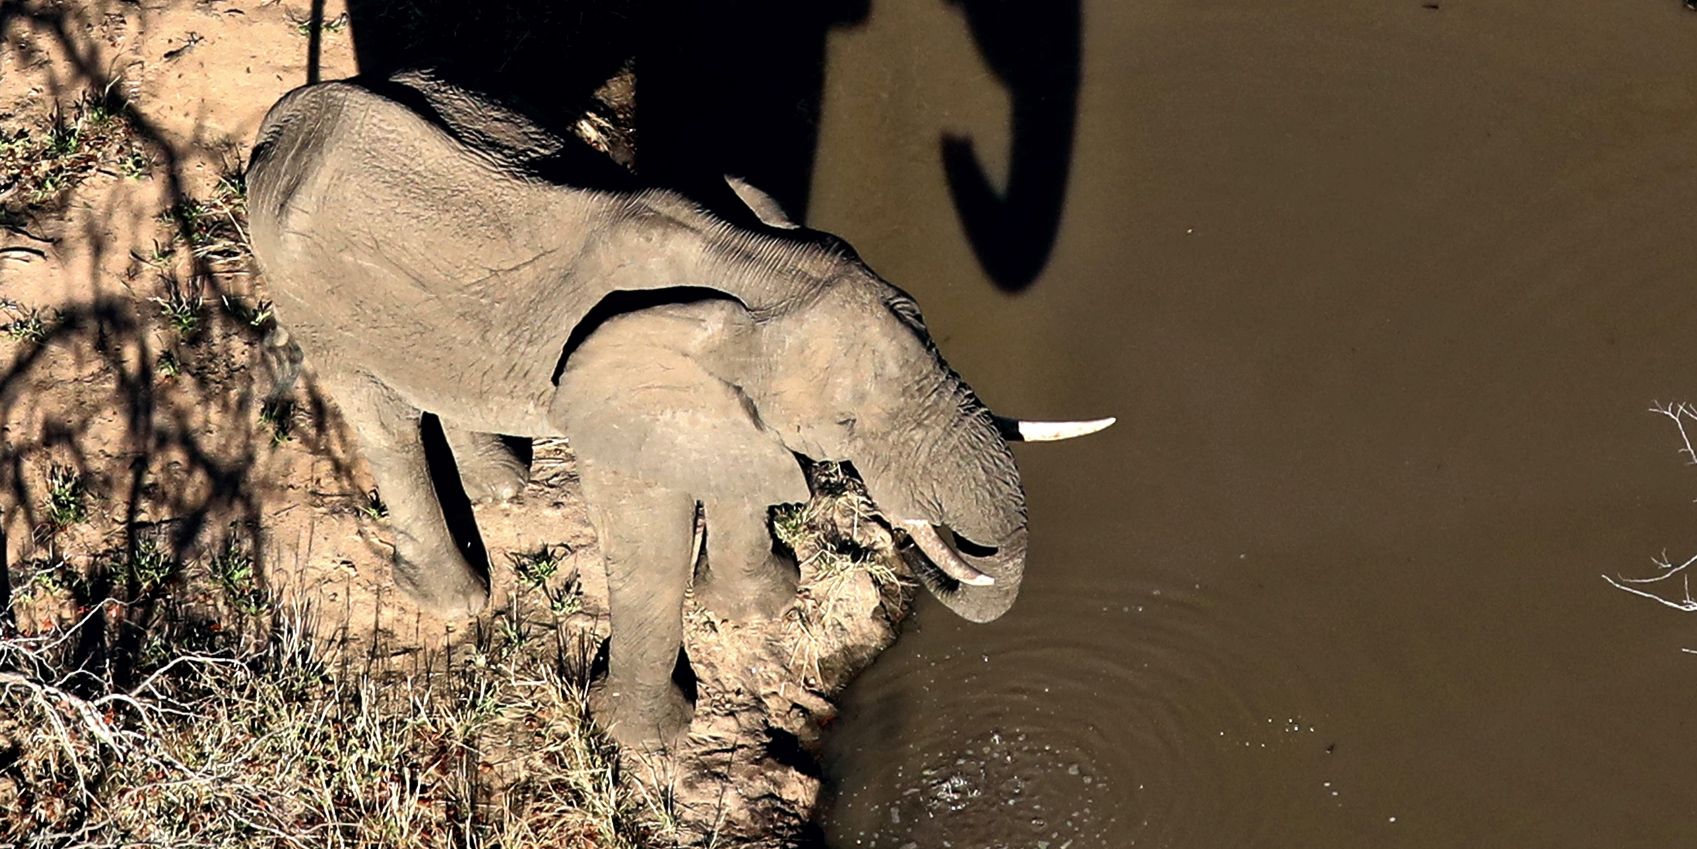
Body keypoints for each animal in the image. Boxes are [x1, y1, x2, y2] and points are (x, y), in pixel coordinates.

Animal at [244, 73, 1111, 749]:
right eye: (846, 423)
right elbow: (651, 536)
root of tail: (285, 114)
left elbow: (738, 474)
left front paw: (764, 604)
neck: (754, 267)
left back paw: (502, 487)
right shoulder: (611, 396)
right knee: (383, 418)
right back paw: (454, 598)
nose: (935, 553)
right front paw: (646, 739)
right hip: (309, 289)